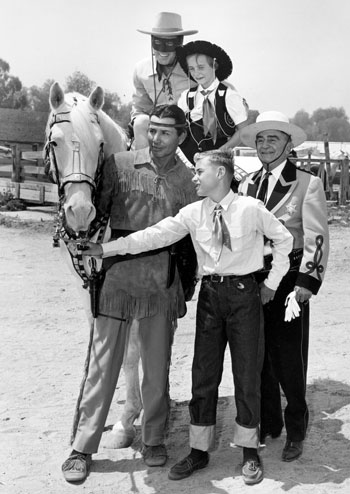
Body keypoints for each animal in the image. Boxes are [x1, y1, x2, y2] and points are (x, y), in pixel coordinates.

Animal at [46, 83, 142, 450]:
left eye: (99, 145)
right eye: (55, 142)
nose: (79, 211)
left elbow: (131, 353)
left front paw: (127, 422)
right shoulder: (87, 287)